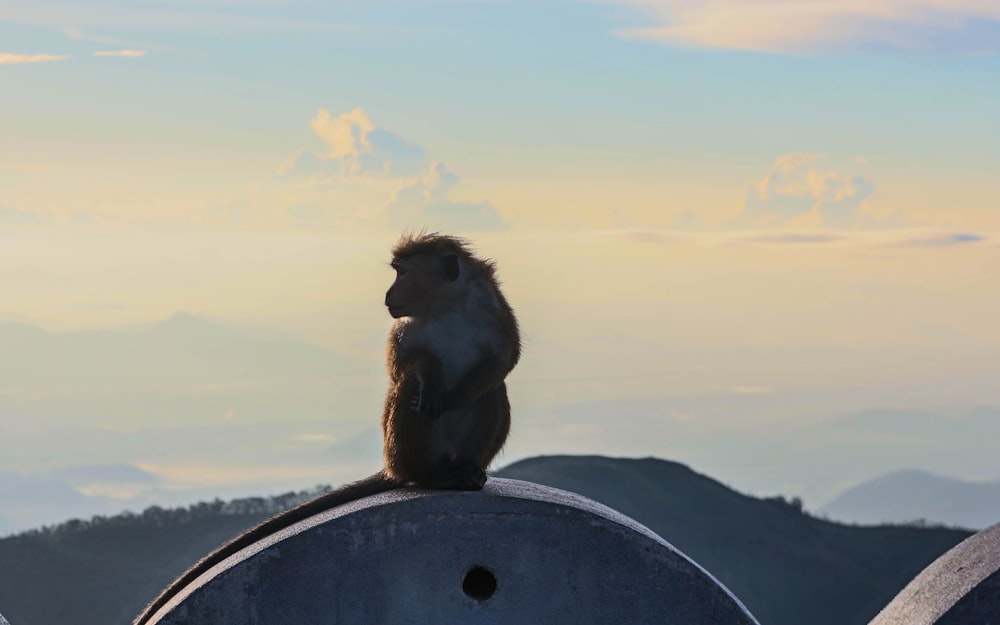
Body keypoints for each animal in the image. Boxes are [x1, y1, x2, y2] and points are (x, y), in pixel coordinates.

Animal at [133, 234, 520, 624]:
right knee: (411, 390)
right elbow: (402, 367)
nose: (388, 294)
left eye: (404, 273)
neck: (446, 307)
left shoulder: (491, 305)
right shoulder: (408, 327)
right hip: (406, 450)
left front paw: (456, 393)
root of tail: (396, 466)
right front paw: (430, 371)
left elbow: (504, 359)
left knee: (491, 391)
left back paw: (465, 470)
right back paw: (431, 474)